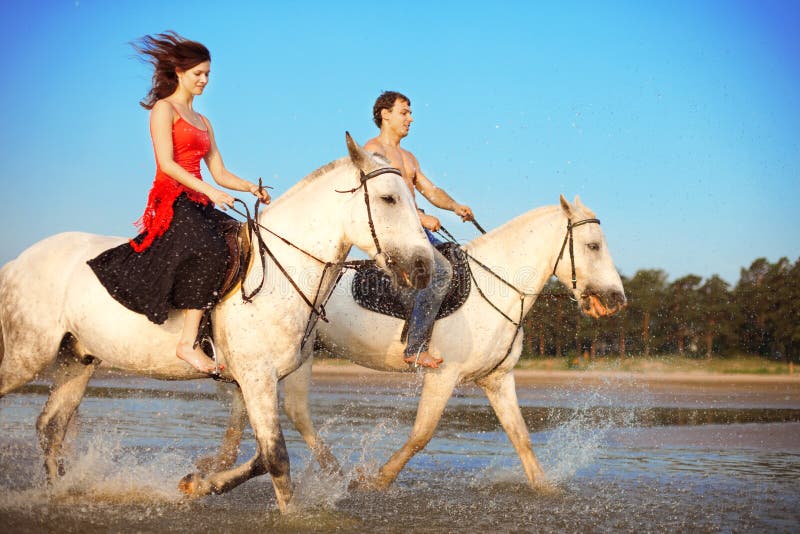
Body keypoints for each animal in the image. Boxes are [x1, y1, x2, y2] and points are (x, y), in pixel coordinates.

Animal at [0, 132, 434, 512]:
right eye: (389, 198)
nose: (424, 267)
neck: (281, 273)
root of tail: (18, 262)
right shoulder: (256, 378)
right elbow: (276, 458)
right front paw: (293, 514)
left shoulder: (254, 381)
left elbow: (259, 456)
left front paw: (196, 485)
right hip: (27, 355)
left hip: (76, 359)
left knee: (51, 427)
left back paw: (57, 493)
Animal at [205, 195, 624, 492]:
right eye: (593, 246)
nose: (616, 299)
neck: (498, 286)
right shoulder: (444, 375)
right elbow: (422, 434)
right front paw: (377, 479)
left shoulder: (498, 379)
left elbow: (521, 437)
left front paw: (545, 488)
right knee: (289, 410)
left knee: (264, 408)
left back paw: (222, 468)